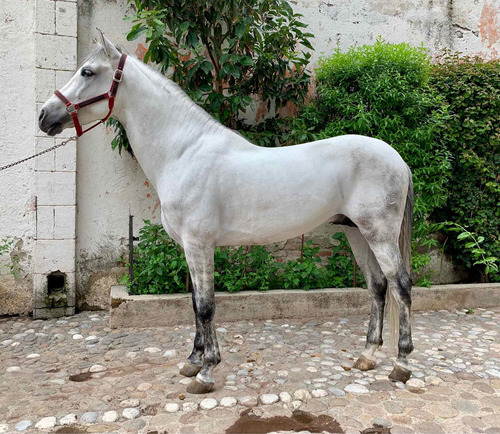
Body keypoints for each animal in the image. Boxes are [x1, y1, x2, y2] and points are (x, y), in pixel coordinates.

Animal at [38, 35, 414, 396]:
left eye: (87, 72)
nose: (44, 115)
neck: (183, 153)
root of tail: (397, 157)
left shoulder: (199, 245)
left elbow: (206, 306)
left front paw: (205, 372)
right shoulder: (189, 248)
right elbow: (194, 304)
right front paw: (192, 361)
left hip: (379, 234)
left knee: (400, 286)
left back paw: (402, 364)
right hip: (355, 232)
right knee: (377, 286)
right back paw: (367, 356)